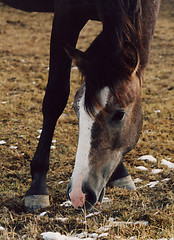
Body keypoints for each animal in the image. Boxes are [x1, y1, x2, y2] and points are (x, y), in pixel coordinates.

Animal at [0, 0, 161, 210]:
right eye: (76, 110)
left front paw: (121, 174)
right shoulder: (66, 16)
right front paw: (37, 188)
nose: (79, 194)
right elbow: (55, 97)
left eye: (119, 114)